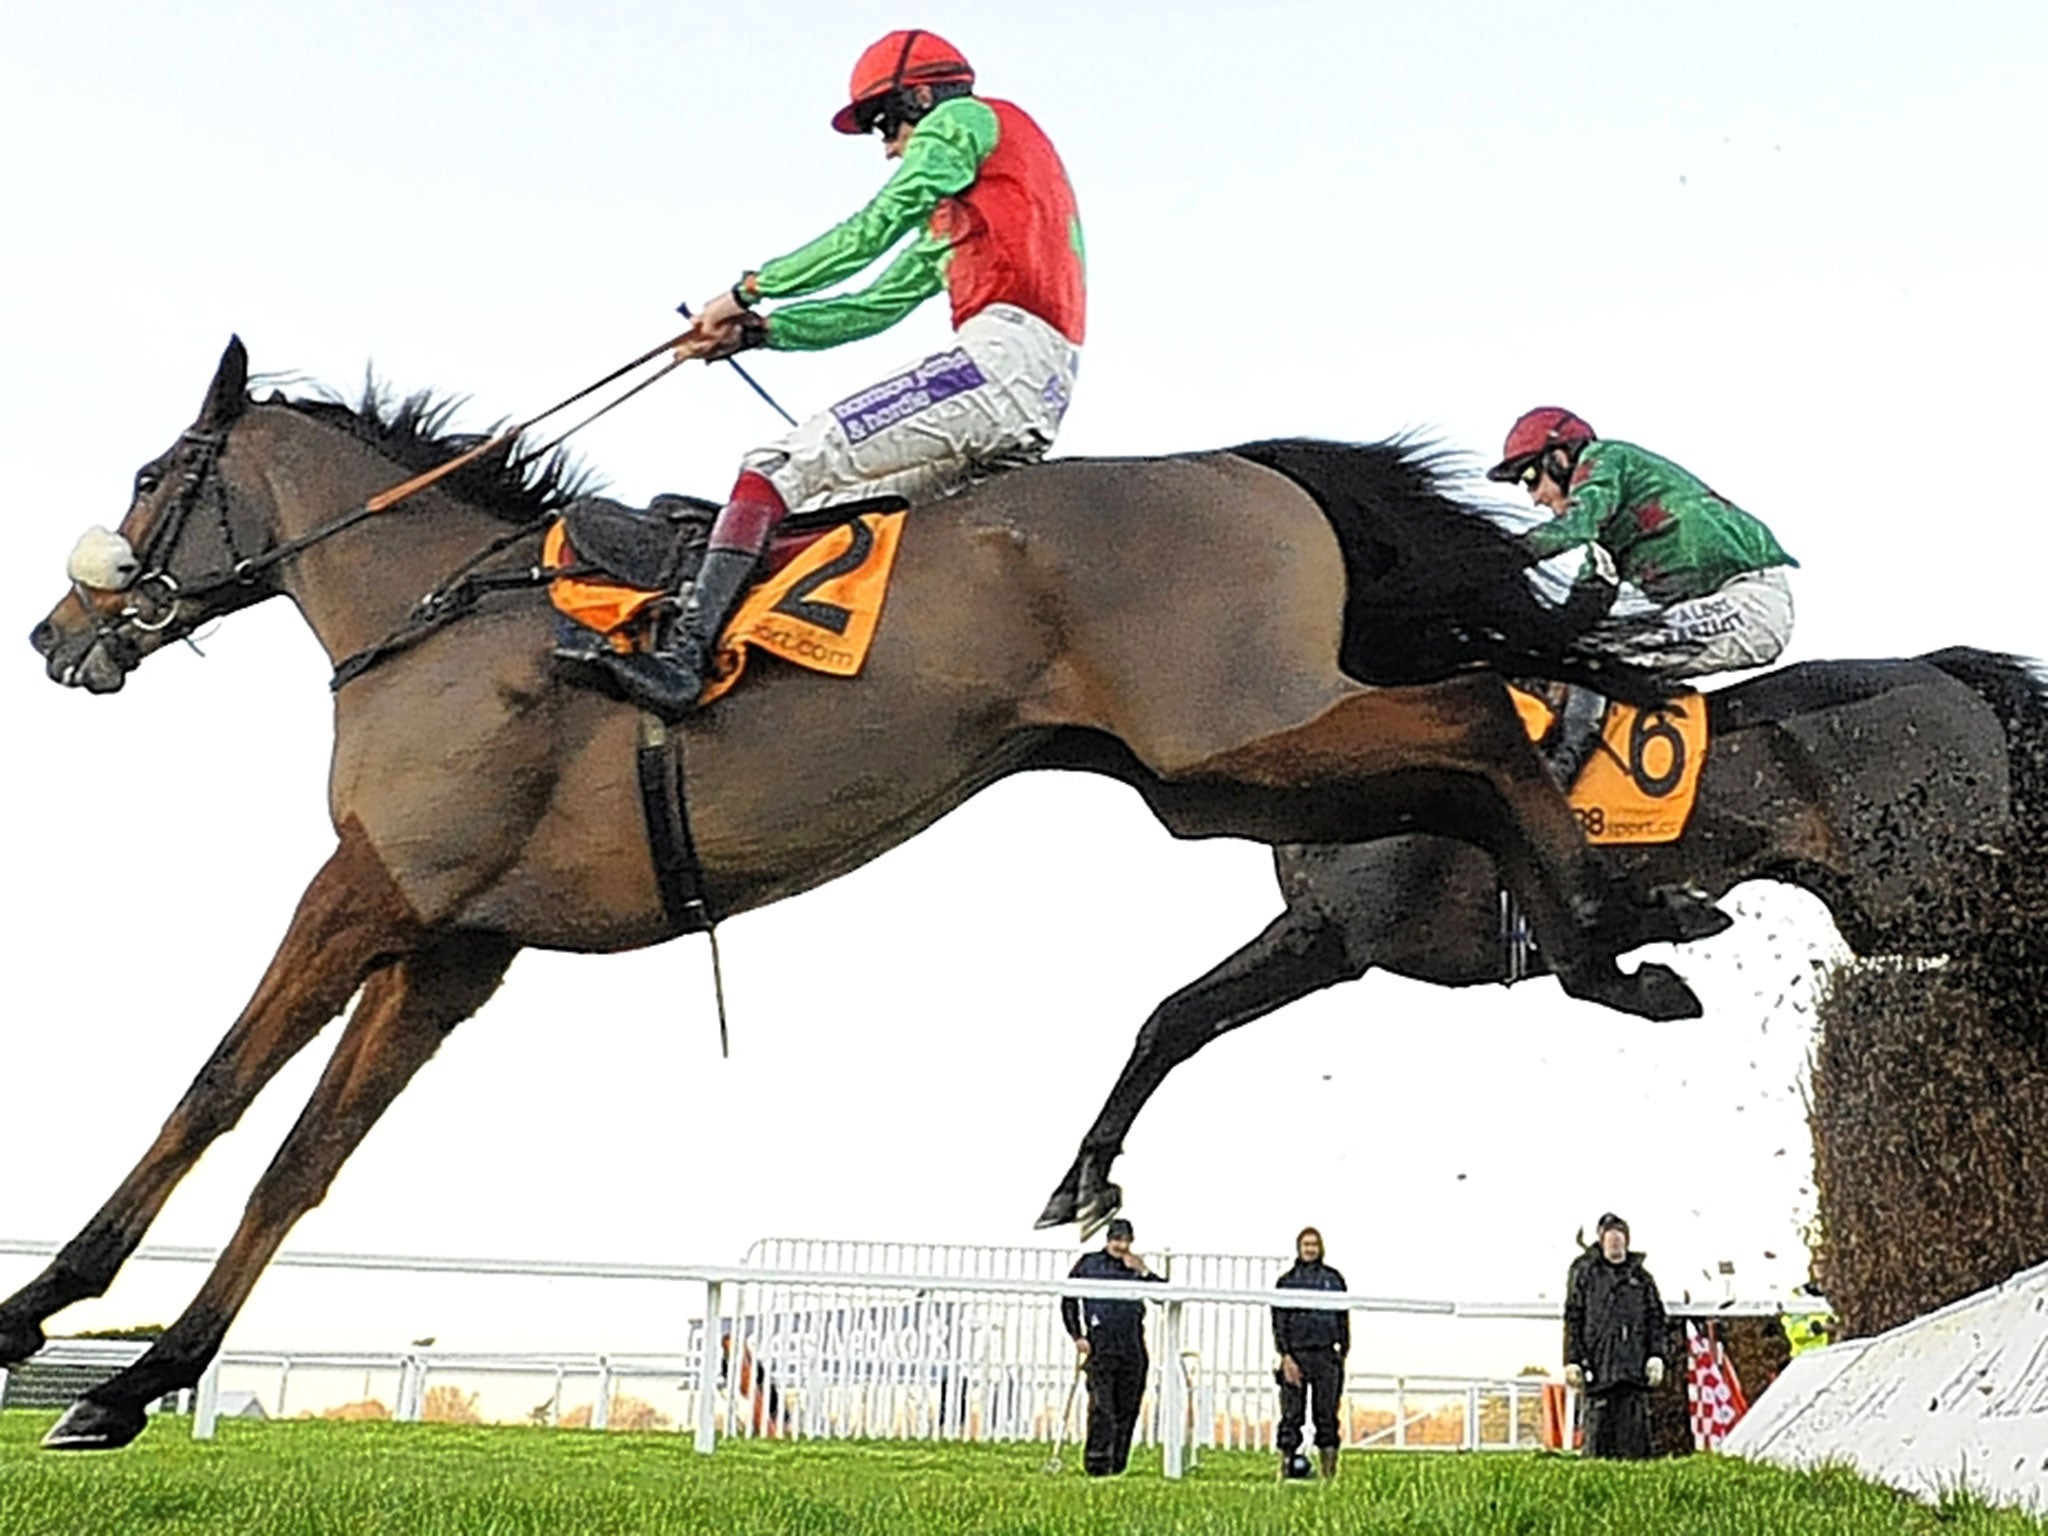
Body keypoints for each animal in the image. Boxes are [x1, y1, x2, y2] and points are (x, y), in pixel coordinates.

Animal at [16, 339, 1703, 1458]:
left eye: (153, 479)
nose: (57, 632)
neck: (443, 617)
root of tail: (1249, 464)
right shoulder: (454, 948)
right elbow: (300, 1162)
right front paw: (137, 1377)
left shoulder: (368, 892)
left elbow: (211, 1098)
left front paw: (52, 1322)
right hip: (1219, 775)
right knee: (1464, 753)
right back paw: (1620, 941)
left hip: (1229, 737)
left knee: (1479, 719)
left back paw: (1607, 940)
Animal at [1040, 643, 2048, 1236]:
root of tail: (1946, 670)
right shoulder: (1329, 936)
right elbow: (1174, 1021)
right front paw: (1081, 1188)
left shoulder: (1348, 930)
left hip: (1920, 884)